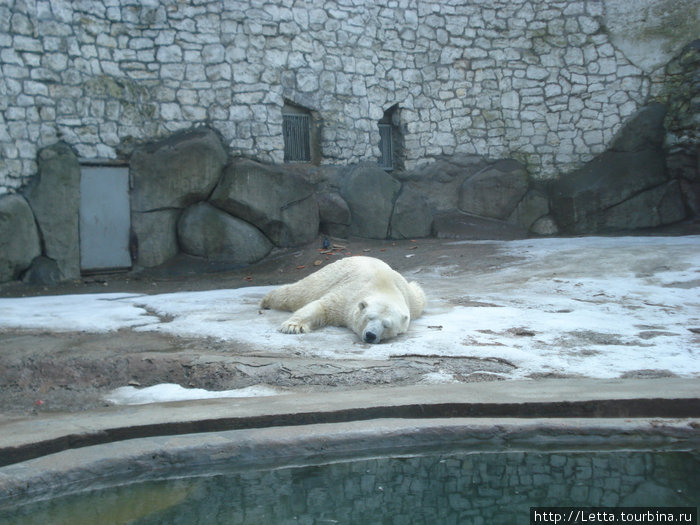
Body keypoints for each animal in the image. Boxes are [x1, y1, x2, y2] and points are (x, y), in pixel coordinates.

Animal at [260, 255, 424, 344]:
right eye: (369, 318)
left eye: (387, 325)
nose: (370, 335)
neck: (385, 287)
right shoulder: (349, 295)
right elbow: (323, 306)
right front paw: (293, 327)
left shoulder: (412, 300)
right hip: (329, 275)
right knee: (299, 293)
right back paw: (266, 301)